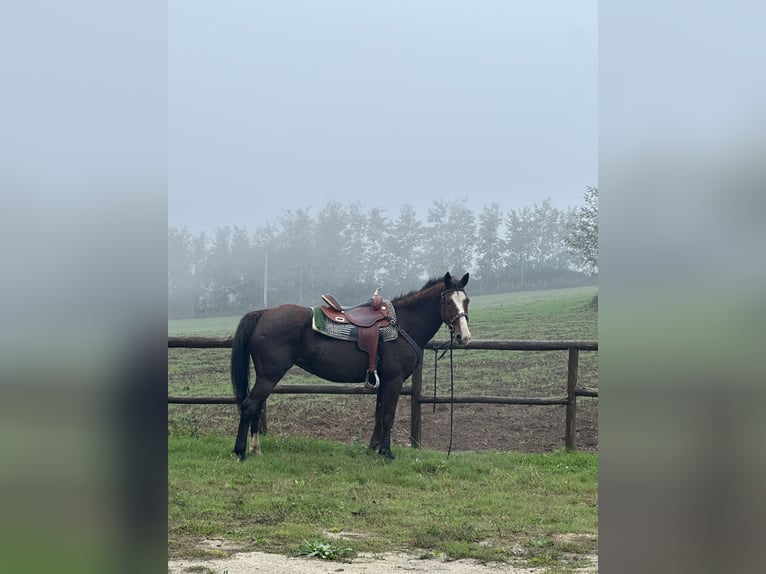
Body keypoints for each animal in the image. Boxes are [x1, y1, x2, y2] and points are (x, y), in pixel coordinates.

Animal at [228, 272, 472, 462]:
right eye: (449, 302)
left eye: (466, 300)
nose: (464, 336)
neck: (402, 325)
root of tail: (263, 314)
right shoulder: (394, 380)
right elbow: (388, 416)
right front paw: (387, 452)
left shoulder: (384, 381)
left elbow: (379, 414)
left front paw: (374, 448)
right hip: (269, 376)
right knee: (249, 406)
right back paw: (241, 452)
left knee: (256, 408)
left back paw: (256, 449)